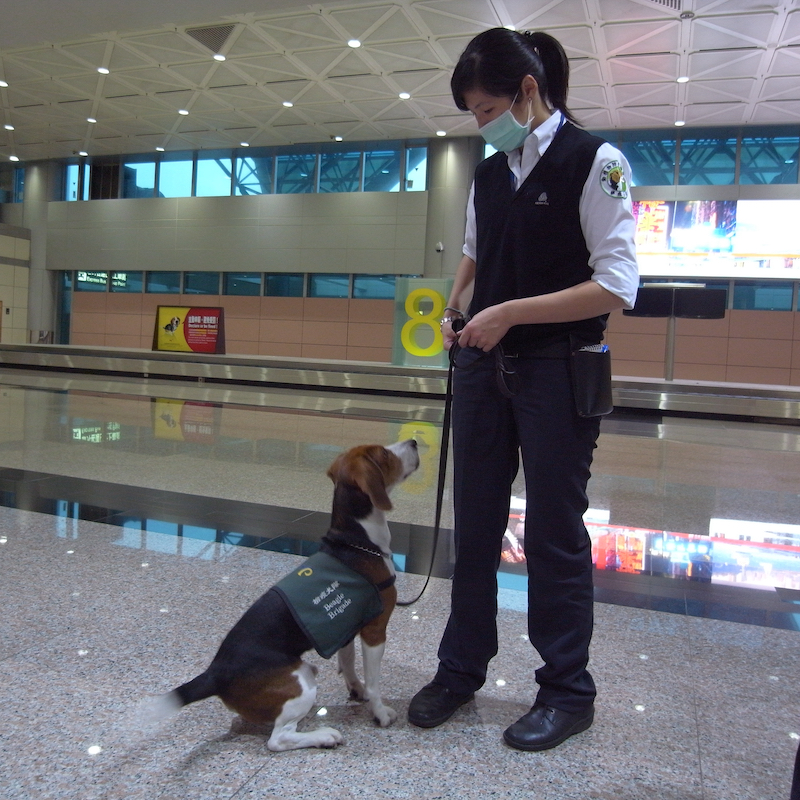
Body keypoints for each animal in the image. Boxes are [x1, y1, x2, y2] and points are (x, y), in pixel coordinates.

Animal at [145, 440, 418, 752]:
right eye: (384, 453)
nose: (414, 441)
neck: (356, 541)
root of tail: (214, 674)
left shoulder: (348, 626)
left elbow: (348, 665)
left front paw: (356, 689)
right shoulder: (375, 630)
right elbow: (374, 682)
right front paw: (380, 712)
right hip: (300, 679)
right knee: (278, 739)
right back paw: (325, 736)